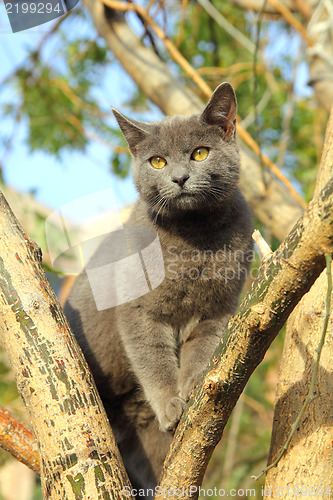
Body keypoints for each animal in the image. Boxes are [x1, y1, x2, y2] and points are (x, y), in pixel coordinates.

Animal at [64, 82, 252, 496]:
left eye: (200, 153)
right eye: (157, 162)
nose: (179, 178)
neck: (195, 237)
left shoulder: (220, 309)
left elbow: (202, 349)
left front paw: (192, 385)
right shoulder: (139, 311)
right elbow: (153, 358)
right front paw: (169, 402)